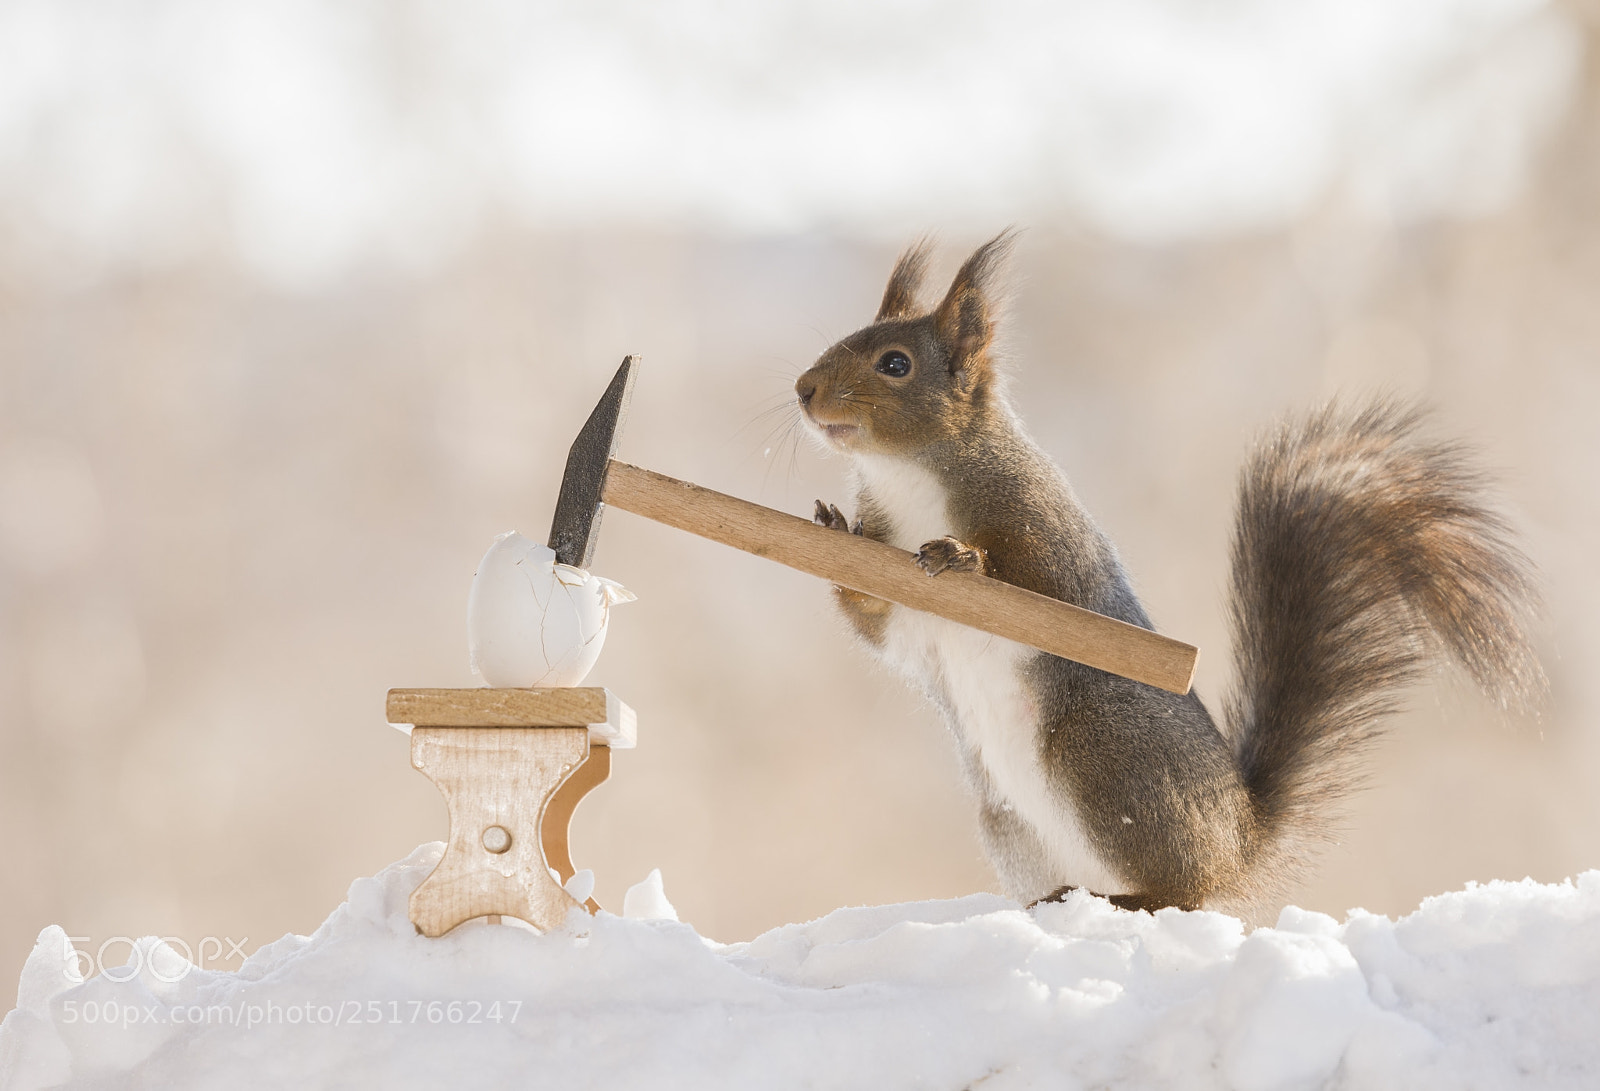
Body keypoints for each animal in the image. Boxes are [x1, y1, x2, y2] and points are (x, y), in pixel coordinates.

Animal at [794, 231, 1544, 913]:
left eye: (895, 363)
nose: (803, 391)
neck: (907, 477)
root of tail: (1238, 841)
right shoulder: (906, 606)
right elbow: (881, 625)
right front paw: (832, 535)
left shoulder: (1046, 525)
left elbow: (1040, 584)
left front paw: (963, 557)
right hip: (1006, 816)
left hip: (1102, 754)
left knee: (1180, 893)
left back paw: (1137, 897)